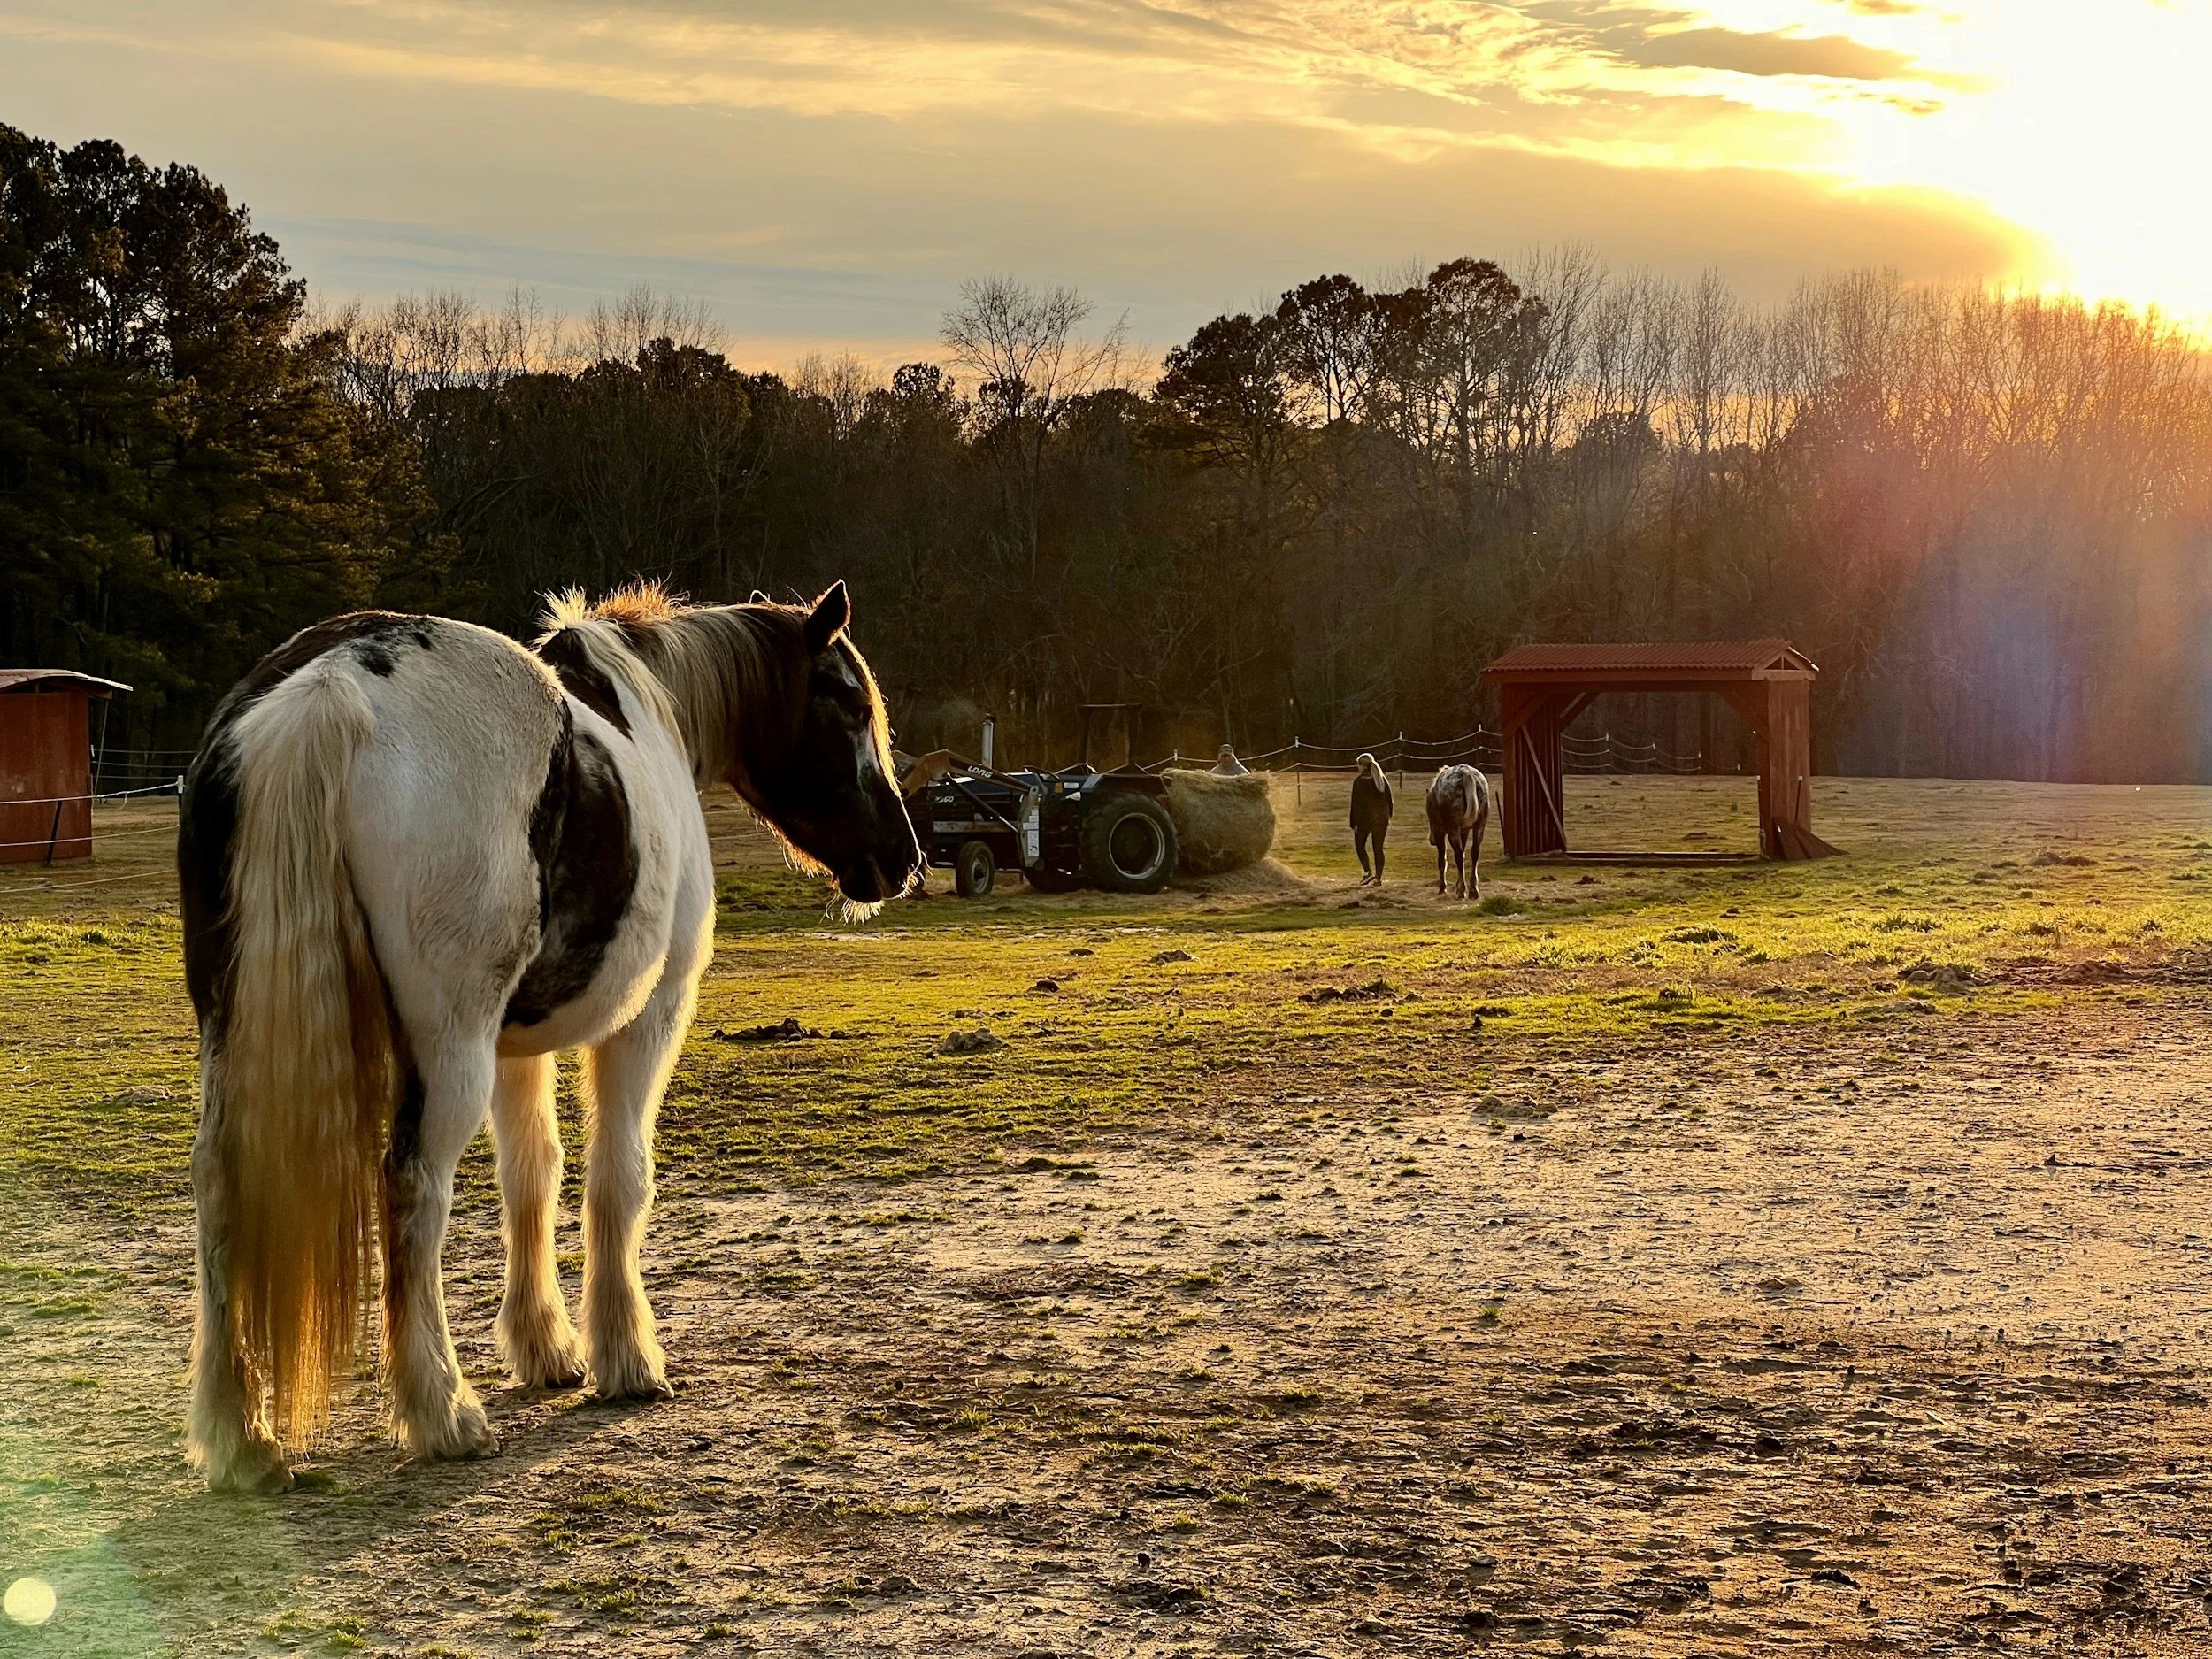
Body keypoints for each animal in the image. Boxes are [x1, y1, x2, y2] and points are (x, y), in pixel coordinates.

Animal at [177, 580, 921, 1491]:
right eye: (848, 703)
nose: (902, 856)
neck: (652, 708)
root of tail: (330, 684)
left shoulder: (514, 1048)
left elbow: (531, 1174)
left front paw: (544, 1346)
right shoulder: (648, 1019)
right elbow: (618, 1179)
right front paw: (626, 1357)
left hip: (237, 1032)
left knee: (220, 1181)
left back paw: (240, 1435)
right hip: (448, 1050)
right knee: (412, 1186)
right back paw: (442, 1411)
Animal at [1349, 752, 1393, 884]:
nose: (1357, 766)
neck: (1369, 773)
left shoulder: (1356, 786)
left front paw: (1367, 876)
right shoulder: (1385, 783)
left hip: (1363, 830)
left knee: (1361, 847)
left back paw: (1369, 876)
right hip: (1379, 828)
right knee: (1378, 852)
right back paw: (1377, 880)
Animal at [1425, 763, 1492, 899]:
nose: (1431, 840)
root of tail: (1467, 774)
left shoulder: (1440, 832)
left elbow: (1442, 860)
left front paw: (1443, 888)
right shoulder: (1464, 831)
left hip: (1453, 829)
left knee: (1459, 855)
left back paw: (1462, 891)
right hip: (1479, 826)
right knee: (1474, 852)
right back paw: (1473, 890)